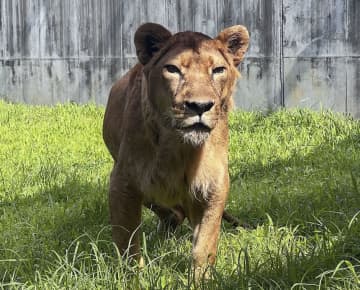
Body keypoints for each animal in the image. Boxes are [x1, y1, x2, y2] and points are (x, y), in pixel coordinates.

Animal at [102, 22, 249, 276]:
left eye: (218, 70)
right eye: (172, 69)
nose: (200, 106)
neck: (180, 148)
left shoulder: (214, 184)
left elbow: (205, 244)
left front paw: (201, 279)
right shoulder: (123, 183)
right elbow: (127, 244)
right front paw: (134, 277)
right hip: (149, 193)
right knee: (171, 213)